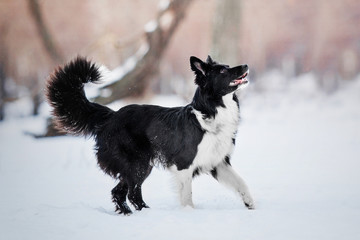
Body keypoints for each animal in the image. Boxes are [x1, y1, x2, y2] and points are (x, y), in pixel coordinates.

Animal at [46, 55, 255, 214]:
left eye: (227, 66)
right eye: (222, 71)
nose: (245, 65)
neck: (211, 112)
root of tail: (111, 115)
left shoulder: (218, 162)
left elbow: (241, 183)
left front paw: (250, 204)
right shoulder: (184, 165)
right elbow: (187, 196)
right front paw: (189, 214)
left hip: (138, 166)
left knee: (119, 193)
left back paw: (131, 214)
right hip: (138, 164)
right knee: (132, 193)